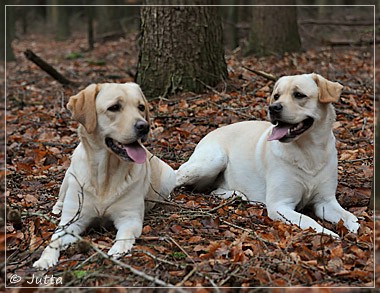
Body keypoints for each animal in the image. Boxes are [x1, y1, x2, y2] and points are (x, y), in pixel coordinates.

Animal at [33, 82, 176, 270]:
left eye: (141, 107)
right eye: (114, 107)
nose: (144, 126)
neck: (104, 174)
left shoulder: (129, 218)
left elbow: (124, 235)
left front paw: (117, 250)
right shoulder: (73, 220)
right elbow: (54, 238)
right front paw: (45, 259)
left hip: (168, 177)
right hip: (68, 176)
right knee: (61, 197)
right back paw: (57, 207)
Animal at [175, 73, 360, 237]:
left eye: (299, 95)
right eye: (276, 96)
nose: (273, 107)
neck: (309, 151)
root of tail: (209, 133)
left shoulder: (325, 201)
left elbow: (350, 216)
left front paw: (357, 228)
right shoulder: (279, 205)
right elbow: (308, 221)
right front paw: (328, 233)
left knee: (212, 190)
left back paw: (237, 195)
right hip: (213, 160)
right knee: (180, 178)